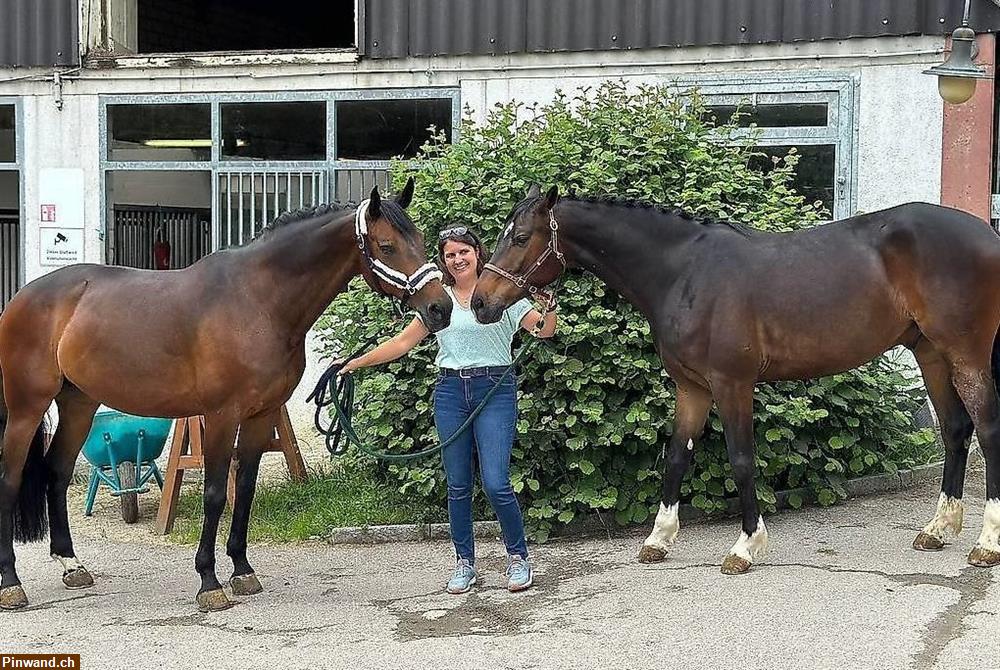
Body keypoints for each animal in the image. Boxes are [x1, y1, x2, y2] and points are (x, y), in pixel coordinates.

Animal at [0, 180, 454, 616]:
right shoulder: (221, 415)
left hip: (79, 404)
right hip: (26, 408)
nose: (441, 309)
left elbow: (246, 488)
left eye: (420, 240)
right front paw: (209, 582)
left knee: (57, 472)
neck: (258, 301)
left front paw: (242, 571)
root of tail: (24, 296)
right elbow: (216, 493)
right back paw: (11, 584)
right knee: (11, 477)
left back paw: (71, 565)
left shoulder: (260, 415)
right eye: (387, 246)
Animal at [472, 188, 1000, 576]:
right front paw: (658, 539)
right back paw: (938, 529)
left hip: (965, 355)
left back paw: (986, 542)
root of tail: (987, 233)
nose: (479, 302)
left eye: (520, 237)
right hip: (930, 353)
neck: (683, 273)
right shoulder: (692, 388)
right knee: (955, 431)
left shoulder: (732, 384)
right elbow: (676, 457)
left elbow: (742, 459)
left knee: (987, 430)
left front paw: (745, 546)